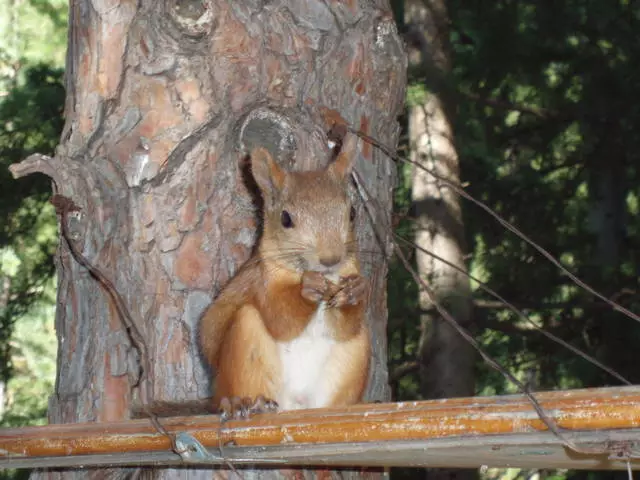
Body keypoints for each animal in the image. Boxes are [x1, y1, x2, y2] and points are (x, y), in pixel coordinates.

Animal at [200, 133, 370, 414]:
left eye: (353, 213)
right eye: (286, 219)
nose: (331, 259)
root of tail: (295, 406)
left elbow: (345, 326)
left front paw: (356, 290)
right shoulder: (262, 282)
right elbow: (281, 318)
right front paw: (306, 288)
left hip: (354, 355)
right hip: (246, 339)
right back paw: (246, 403)